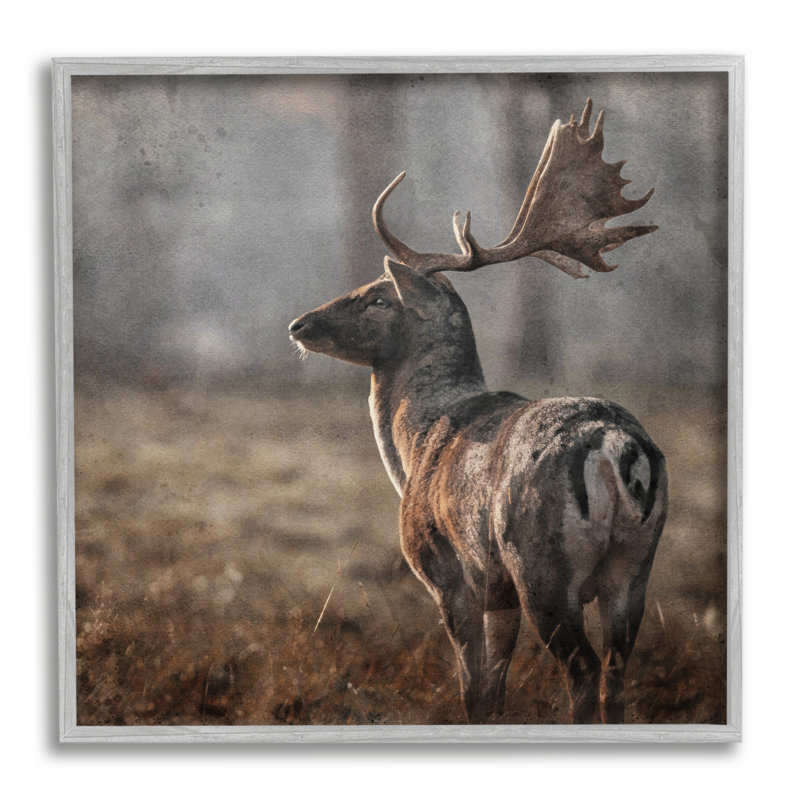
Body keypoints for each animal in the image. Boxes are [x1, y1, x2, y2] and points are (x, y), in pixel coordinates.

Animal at [288, 99, 668, 724]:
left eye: (378, 296)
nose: (300, 324)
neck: (416, 444)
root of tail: (618, 447)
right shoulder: (498, 592)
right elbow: (495, 688)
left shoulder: (449, 573)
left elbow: (473, 688)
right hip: (634, 567)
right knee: (616, 673)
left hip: (541, 565)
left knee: (583, 669)